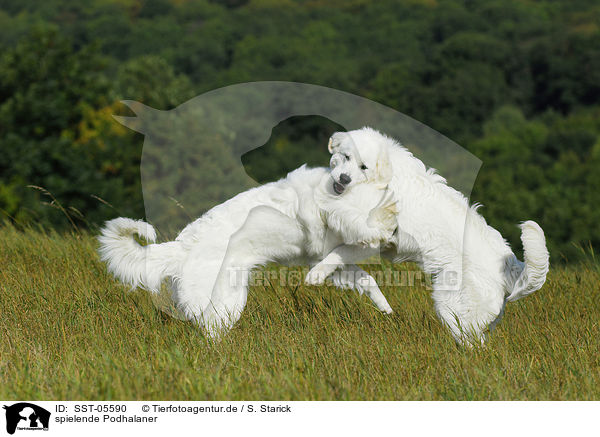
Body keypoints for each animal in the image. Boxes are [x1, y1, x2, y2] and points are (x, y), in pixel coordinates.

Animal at [308, 127, 552, 346]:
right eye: (346, 157)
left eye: (363, 167)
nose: (344, 178)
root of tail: (511, 264)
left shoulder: (375, 238)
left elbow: (337, 252)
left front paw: (316, 274)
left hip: (451, 307)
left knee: (472, 344)